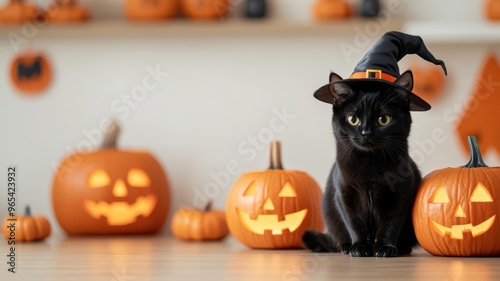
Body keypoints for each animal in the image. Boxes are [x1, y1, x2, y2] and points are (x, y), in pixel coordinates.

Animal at [302, 70, 420, 256]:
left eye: (383, 119)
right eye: (353, 119)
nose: (366, 133)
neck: (369, 163)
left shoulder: (401, 193)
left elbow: (391, 223)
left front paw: (385, 248)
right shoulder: (344, 193)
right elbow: (354, 223)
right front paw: (360, 247)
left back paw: (402, 248)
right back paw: (345, 247)